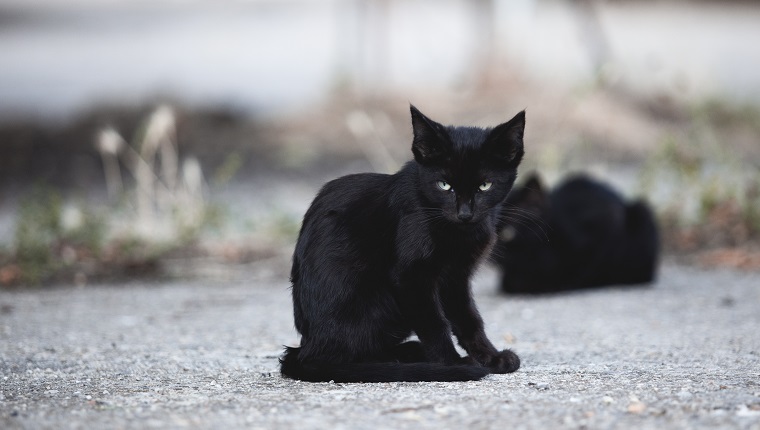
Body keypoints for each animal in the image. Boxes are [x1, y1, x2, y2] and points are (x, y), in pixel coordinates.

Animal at [280, 106, 528, 382]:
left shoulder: (456, 276)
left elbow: (469, 318)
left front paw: (491, 357)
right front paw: (452, 364)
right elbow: (435, 324)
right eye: (444, 185)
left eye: (485, 185)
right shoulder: (411, 276)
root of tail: (306, 350)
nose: (464, 213)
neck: (460, 233)